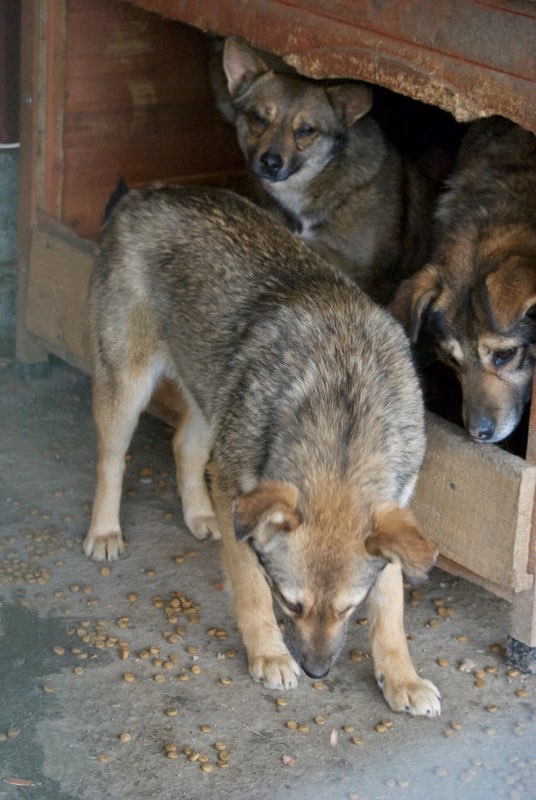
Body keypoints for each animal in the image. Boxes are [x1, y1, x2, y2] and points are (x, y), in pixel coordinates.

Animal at [84, 184, 440, 716]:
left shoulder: (393, 508)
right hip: (129, 389)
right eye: (290, 603)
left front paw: (401, 677)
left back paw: (200, 514)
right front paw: (269, 654)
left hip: (214, 397)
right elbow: (250, 588)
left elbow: (393, 609)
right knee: (111, 460)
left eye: (350, 608)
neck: (343, 419)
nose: (318, 672)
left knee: (184, 446)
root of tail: (147, 192)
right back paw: (105, 530)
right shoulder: (241, 496)